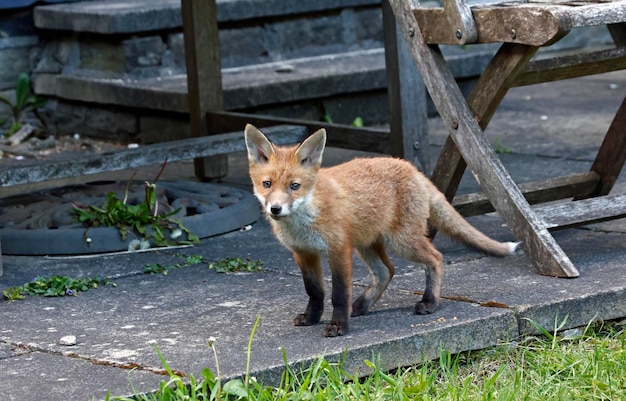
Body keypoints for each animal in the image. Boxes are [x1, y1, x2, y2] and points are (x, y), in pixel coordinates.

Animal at [244, 123, 516, 336]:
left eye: (294, 186)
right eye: (267, 184)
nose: (275, 209)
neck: (305, 219)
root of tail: (411, 168)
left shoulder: (339, 249)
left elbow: (339, 294)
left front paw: (339, 326)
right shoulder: (304, 253)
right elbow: (315, 291)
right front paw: (312, 318)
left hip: (401, 242)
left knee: (435, 258)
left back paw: (430, 301)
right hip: (366, 243)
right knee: (387, 271)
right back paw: (361, 306)